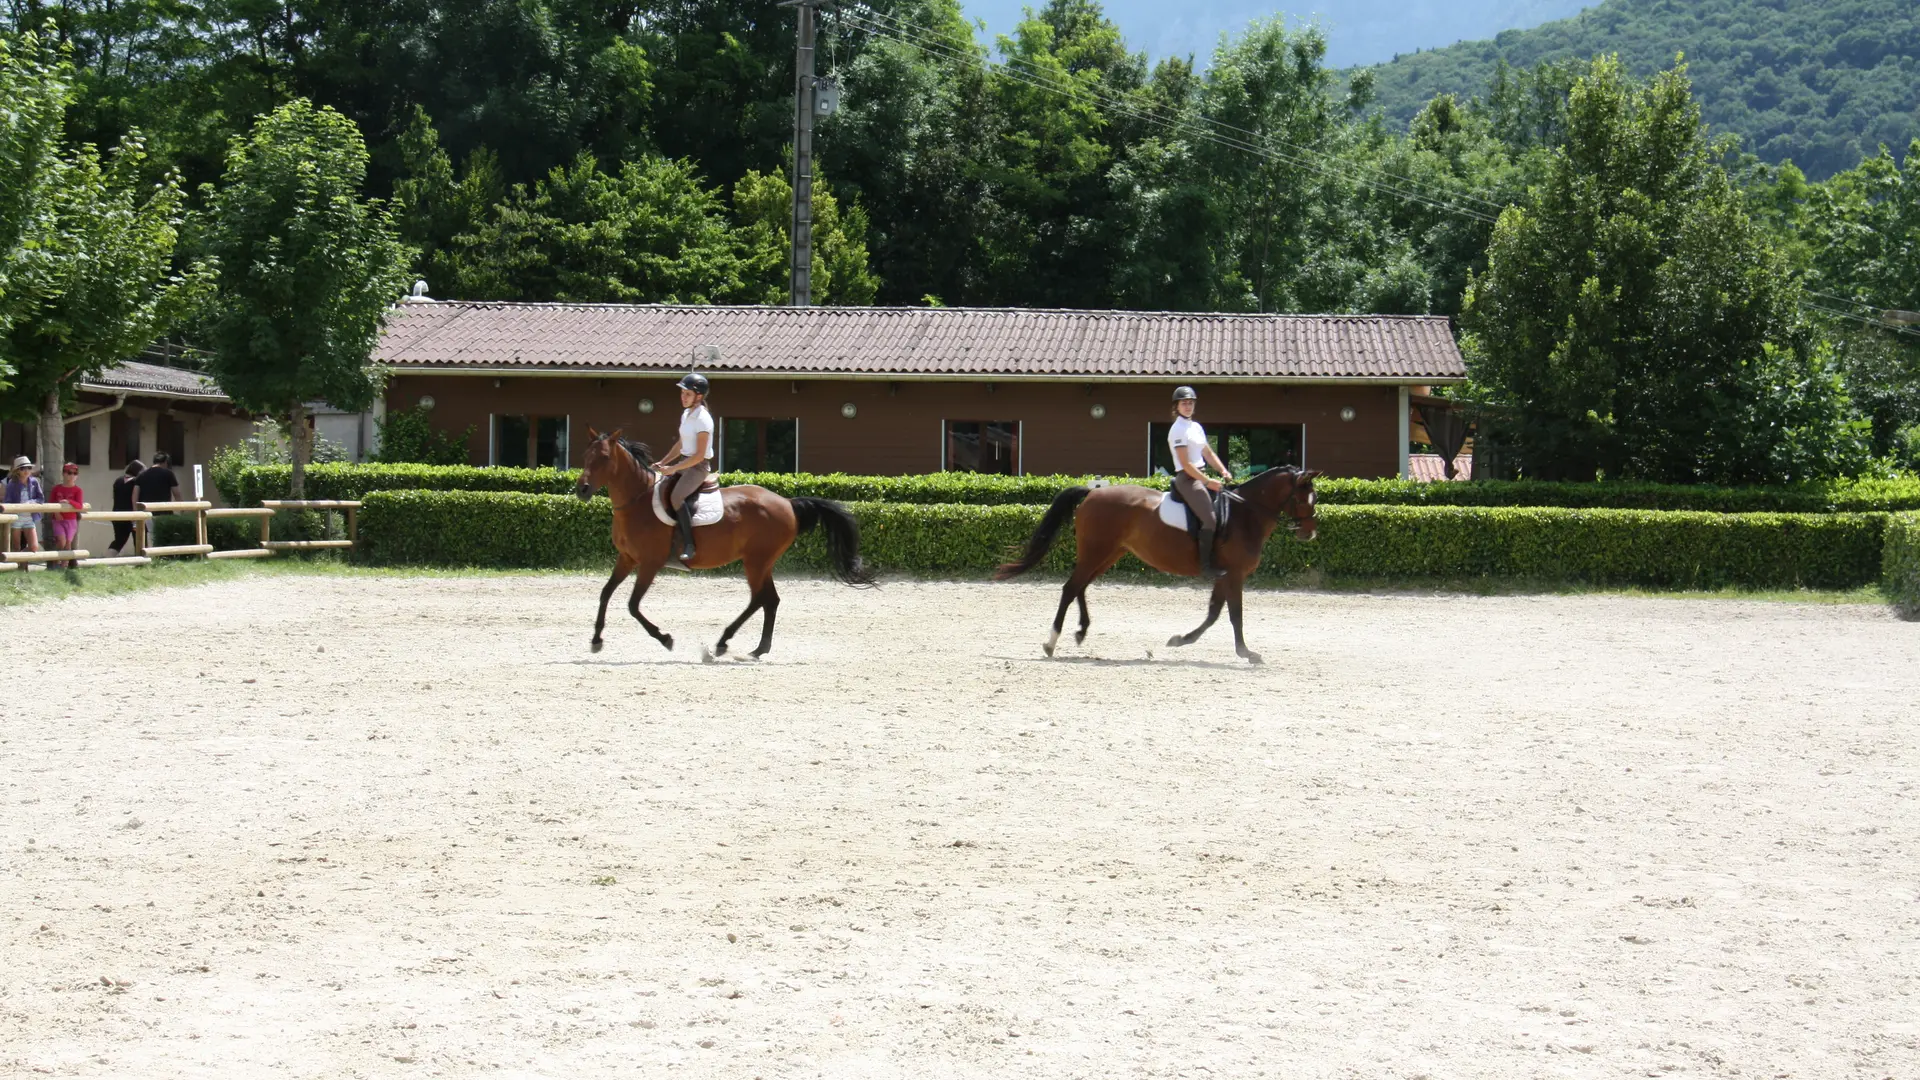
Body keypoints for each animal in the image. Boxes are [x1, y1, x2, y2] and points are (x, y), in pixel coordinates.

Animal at [568, 428, 871, 657]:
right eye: (585, 455)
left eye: (604, 457)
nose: (582, 490)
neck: (636, 502)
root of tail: (787, 502)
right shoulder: (627, 558)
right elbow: (605, 593)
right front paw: (596, 640)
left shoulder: (650, 563)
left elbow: (632, 605)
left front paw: (665, 638)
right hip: (761, 562)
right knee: (770, 600)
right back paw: (758, 649)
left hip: (755, 561)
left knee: (759, 598)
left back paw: (724, 641)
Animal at [990, 466, 1320, 661]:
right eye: (1303, 499)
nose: (1310, 532)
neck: (1245, 514)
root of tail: (1093, 492)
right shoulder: (1235, 575)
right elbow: (1234, 615)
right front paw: (1247, 653)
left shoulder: (1223, 575)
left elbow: (1214, 613)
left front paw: (1181, 640)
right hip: (1097, 551)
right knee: (1070, 588)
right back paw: (1051, 642)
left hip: (1108, 554)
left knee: (1080, 587)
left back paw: (1081, 631)